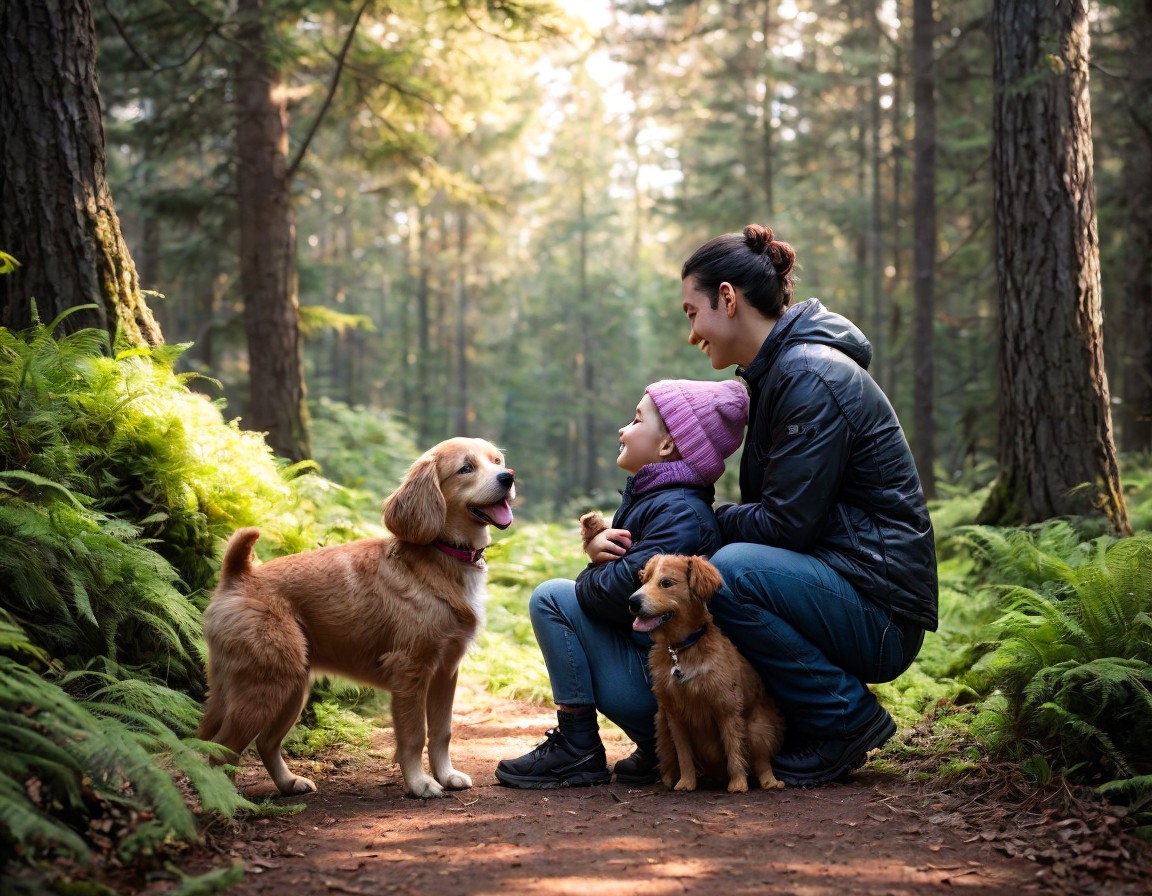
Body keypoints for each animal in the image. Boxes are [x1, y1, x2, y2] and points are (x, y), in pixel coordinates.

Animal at [196, 435, 513, 796]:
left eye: (497, 461)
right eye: (466, 468)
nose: (509, 477)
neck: (442, 556)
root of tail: (238, 577)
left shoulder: (446, 671)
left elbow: (442, 733)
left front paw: (446, 775)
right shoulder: (411, 671)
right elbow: (414, 736)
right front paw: (420, 783)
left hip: (284, 688)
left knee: (262, 742)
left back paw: (288, 783)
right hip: (265, 686)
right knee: (222, 749)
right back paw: (224, 797)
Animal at [626, 555, 787, 792]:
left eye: (666, 583)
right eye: (644, 580)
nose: (633, 602)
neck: (682, 649)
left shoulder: (726, 709)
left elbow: (734, 750)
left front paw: (738, 784)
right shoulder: (674, 716)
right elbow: (684, 755)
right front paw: (686, 783)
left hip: (758, 728)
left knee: (761, 760)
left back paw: (771, 782)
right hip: (662, 728)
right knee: (668, 759)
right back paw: (669, 780)